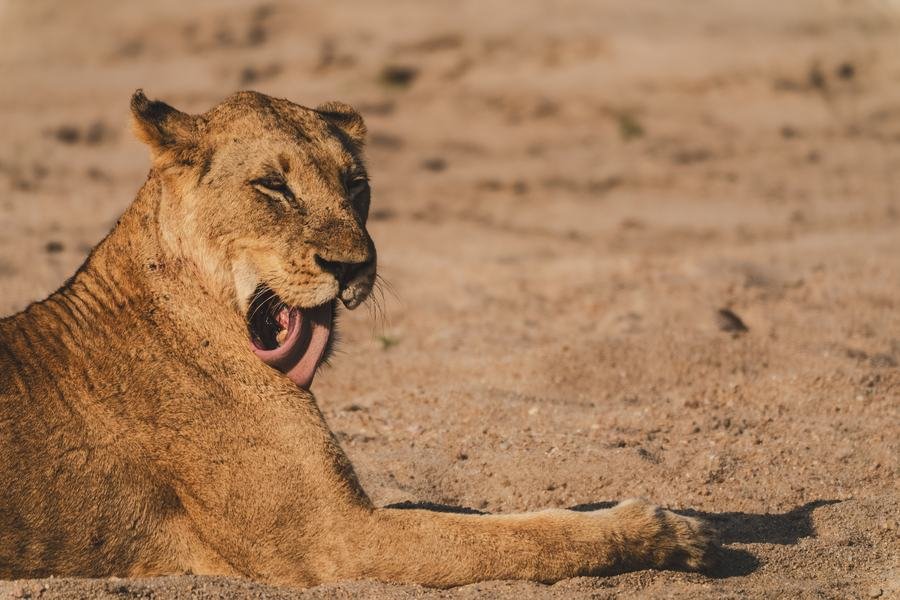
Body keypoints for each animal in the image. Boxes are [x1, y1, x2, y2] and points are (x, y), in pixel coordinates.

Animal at [0, 91, 715, 587]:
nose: (352, 266)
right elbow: (517, 540)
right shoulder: (334, 542)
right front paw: (669, 531)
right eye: (273, 186)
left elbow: (475, 519)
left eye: (356, 184)